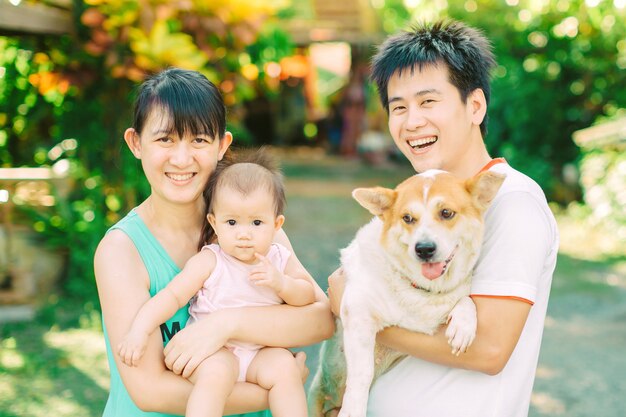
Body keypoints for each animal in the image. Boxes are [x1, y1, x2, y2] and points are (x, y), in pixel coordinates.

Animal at [306, 168, 502, 416]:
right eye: (407, 218)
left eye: (446, 213)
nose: (424, 249)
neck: (419, 289)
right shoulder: (358, 312)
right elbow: (362, 373)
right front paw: (354, 408)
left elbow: (466, 300)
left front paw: (463, 326)